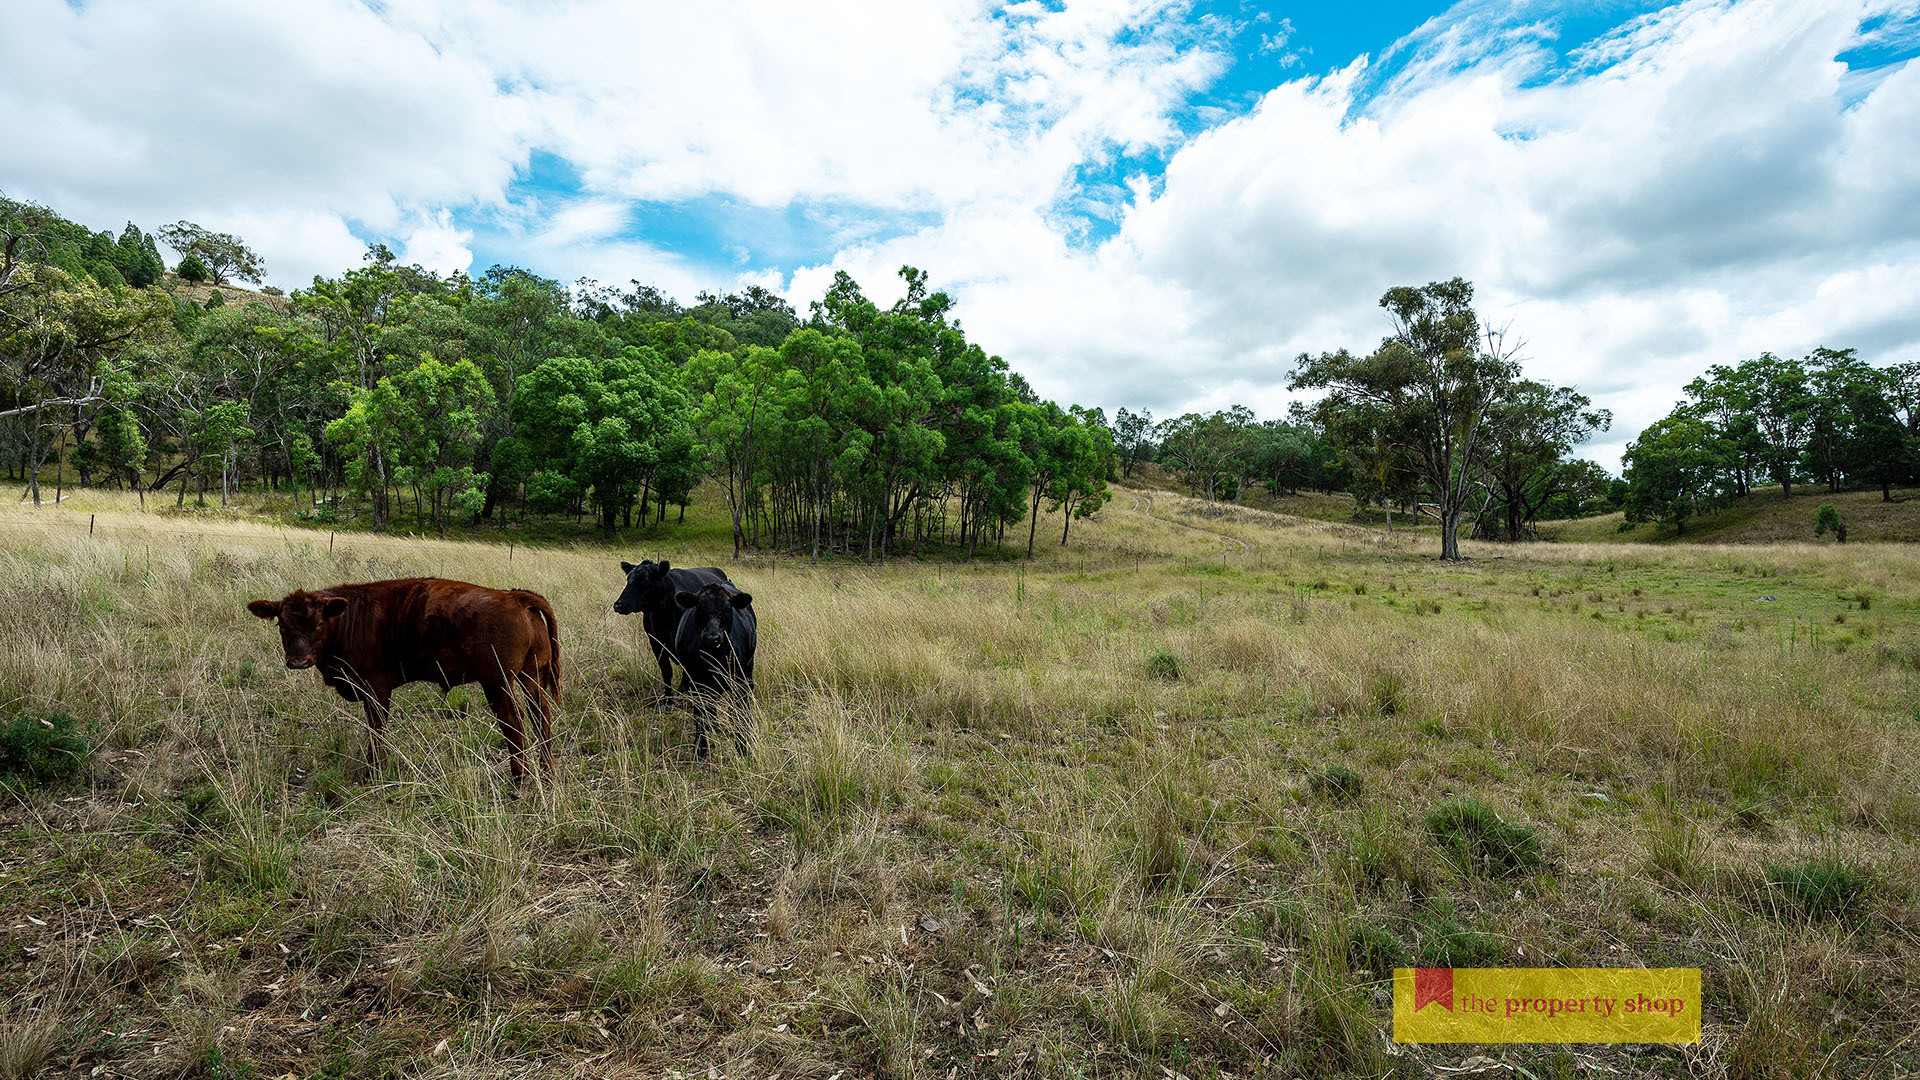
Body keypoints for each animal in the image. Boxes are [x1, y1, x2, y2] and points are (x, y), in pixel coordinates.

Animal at [246, 578, 561, 784]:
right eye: (282, 624)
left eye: (319, 623)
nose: (298, 660)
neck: (348, 617)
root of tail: (513, 596)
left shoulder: (376, 689)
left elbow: (377, 729)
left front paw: (375, 772)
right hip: (531, 677)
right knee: (540, 716)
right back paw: (547, 772)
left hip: (498, 683)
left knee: (513, 721)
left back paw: (519, 778)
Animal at [671, 582, 757, 758]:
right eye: (699, 608)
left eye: (727, 609)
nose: (712, 637)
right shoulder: (696, 681)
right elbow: (700, 715)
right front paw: (700, 750)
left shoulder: (739, 681)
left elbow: (740, 712)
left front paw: (742, 747)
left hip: (747, 671)